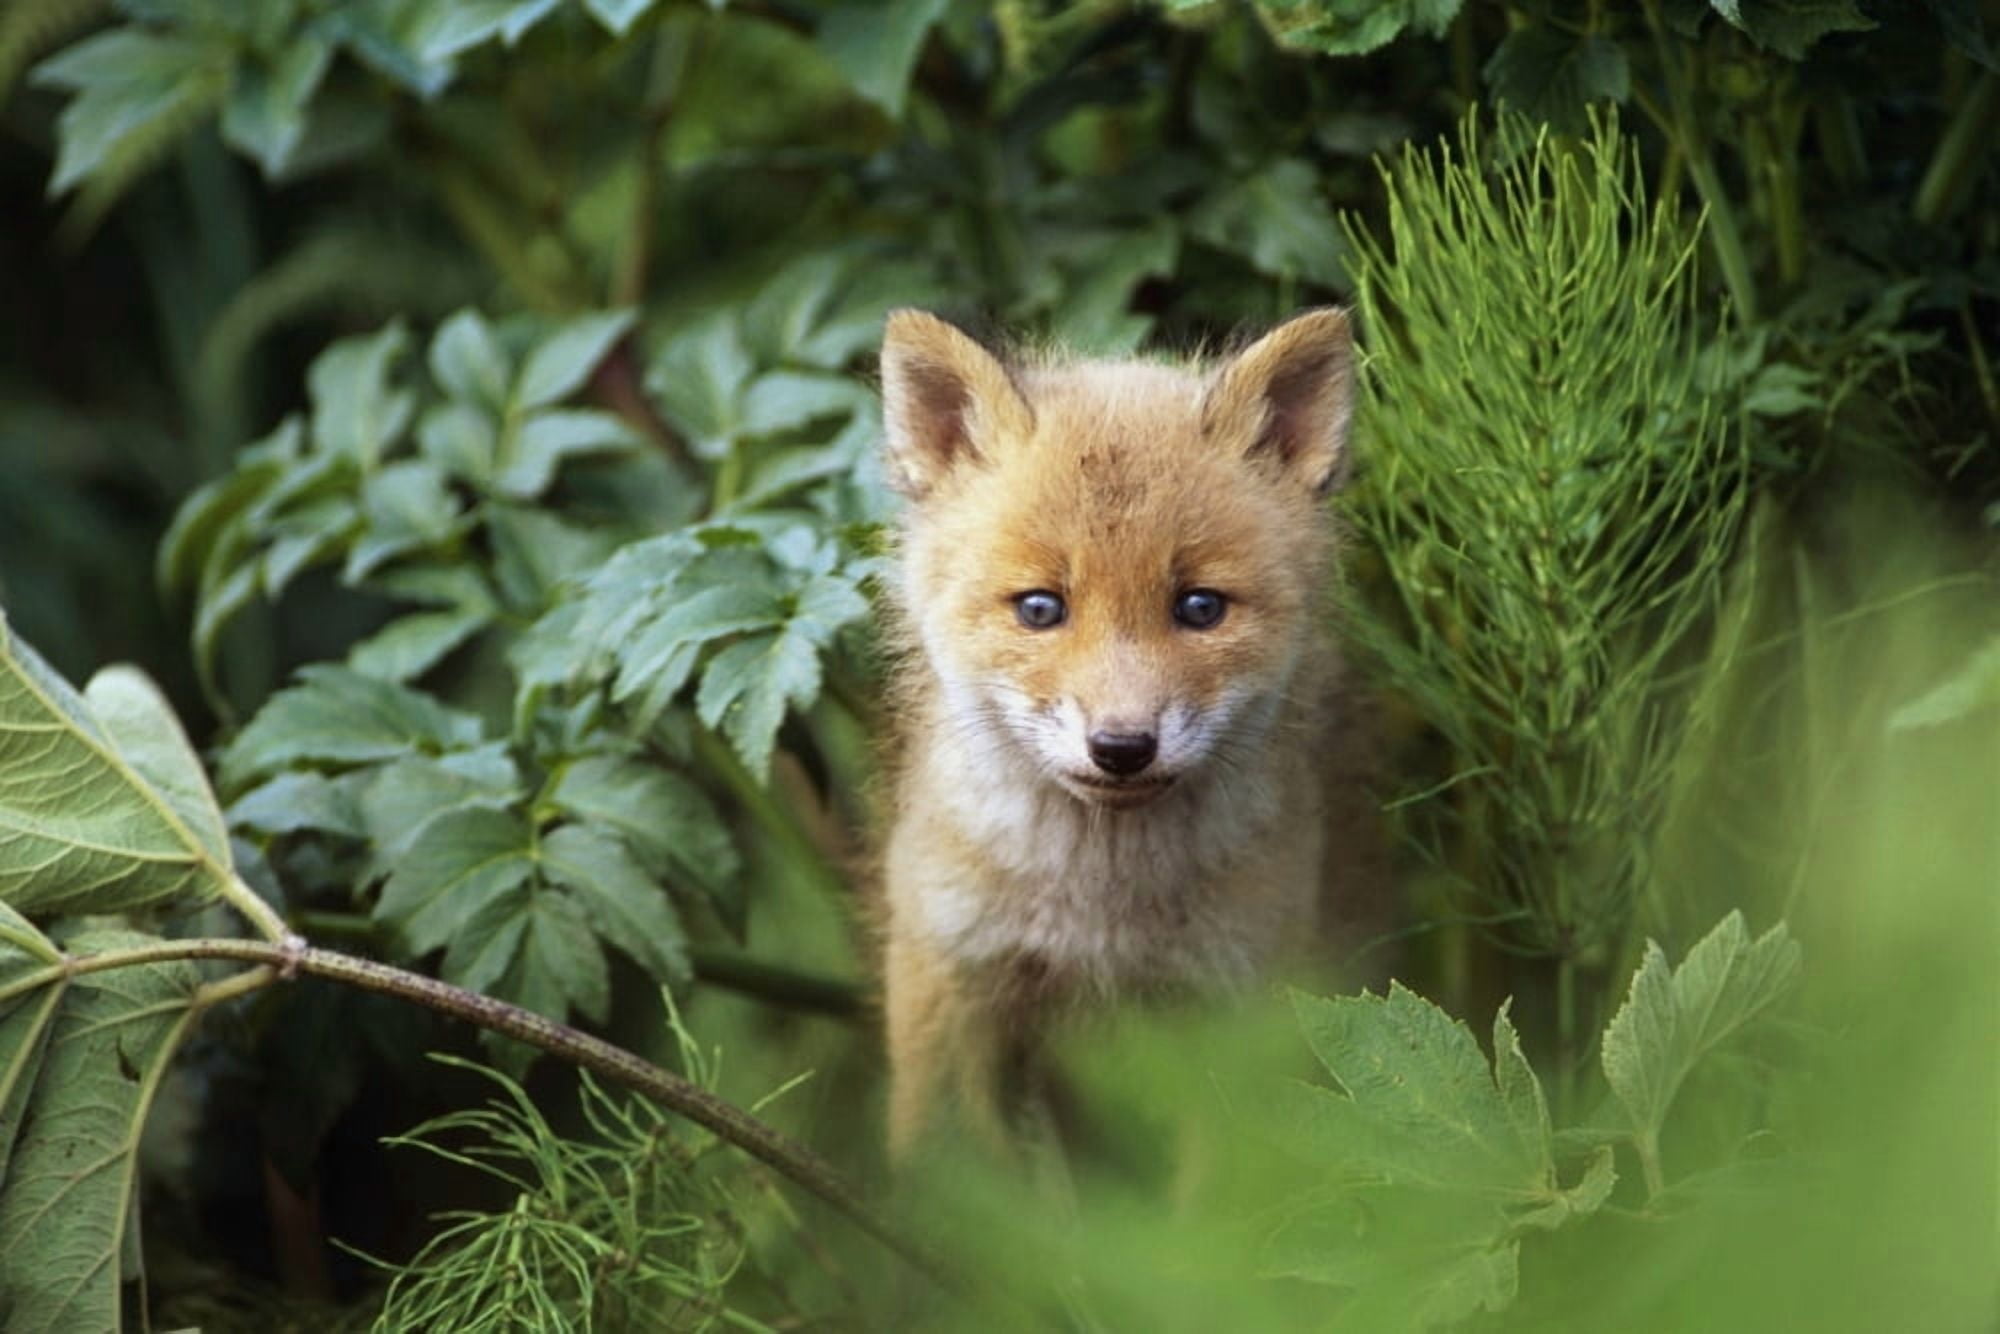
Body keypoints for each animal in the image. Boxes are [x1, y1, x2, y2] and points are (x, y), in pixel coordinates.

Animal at [874, 307, 1379, 1160]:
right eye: (1040, 608)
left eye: (1200, 607)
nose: (1120, 748)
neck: (1098, 918)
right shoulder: (950, 976)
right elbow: (955, 1166)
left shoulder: (1239, 1008)